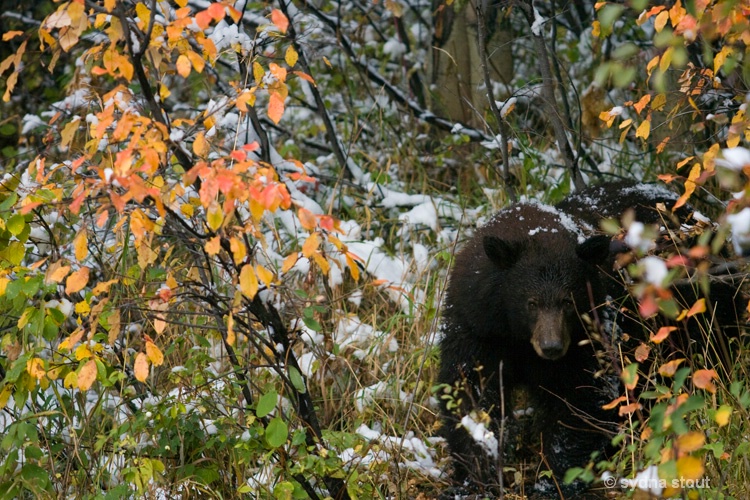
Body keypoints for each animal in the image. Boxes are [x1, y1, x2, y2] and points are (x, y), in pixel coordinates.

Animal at [434, 200, 616, 496]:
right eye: (531, 303)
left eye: (568, 302)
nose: (552, 347)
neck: (520, 341)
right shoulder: (478, 329)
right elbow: (470, 392)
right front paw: (477, 476)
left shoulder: (584, 343)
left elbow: (578, 401)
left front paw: (552, 482)